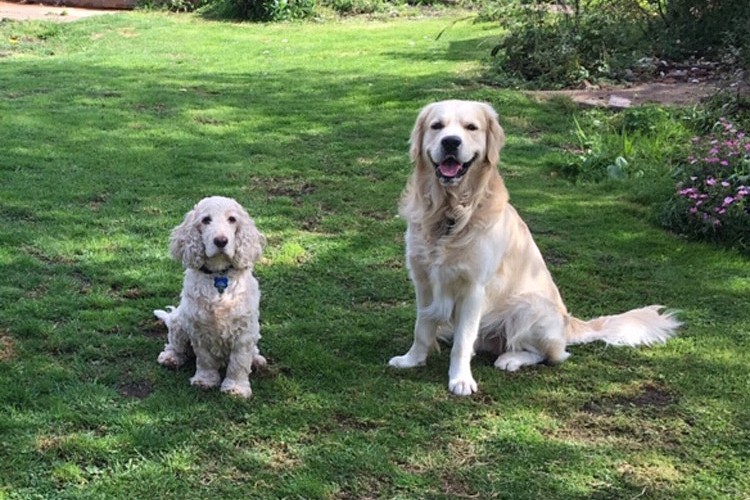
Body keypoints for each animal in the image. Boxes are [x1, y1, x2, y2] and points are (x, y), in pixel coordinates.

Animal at [154, 195, 268, 398]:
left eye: (232, 219)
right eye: (206, 220)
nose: (221, 241)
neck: (218, 275)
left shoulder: (244, 330)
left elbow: (239, 362)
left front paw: (236, 388)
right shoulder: (200, 328)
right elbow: (205, 359)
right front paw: (205, 381)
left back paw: (257, 360)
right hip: (178, 321)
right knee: (175, 345)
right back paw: (171, 357)